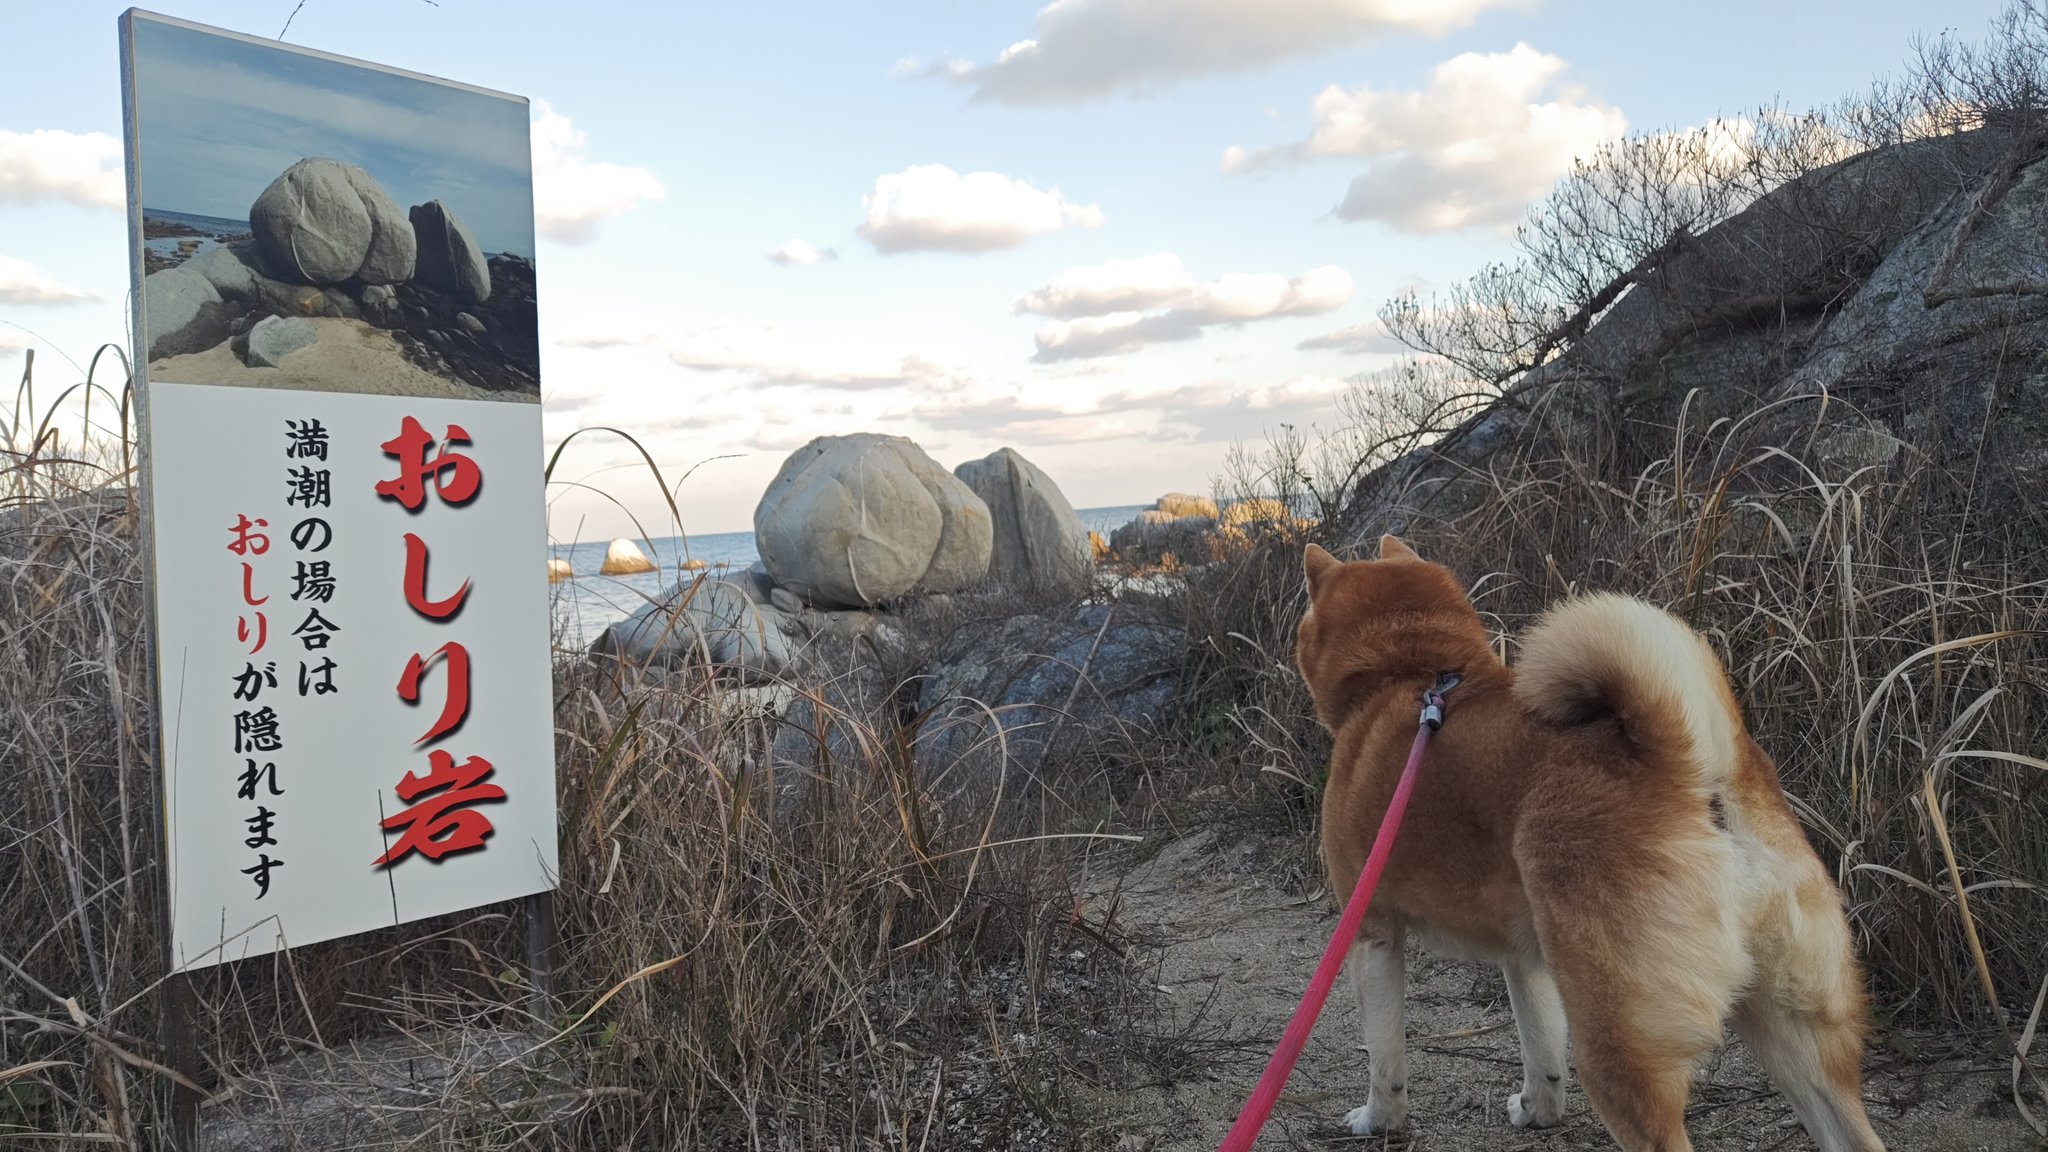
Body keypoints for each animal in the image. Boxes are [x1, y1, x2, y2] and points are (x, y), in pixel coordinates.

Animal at [1294, 536, 1884, 1152]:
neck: (1410, 675)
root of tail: (1692, 770)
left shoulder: (1373, 937)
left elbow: (1384, 1056)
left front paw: (1377, 1120)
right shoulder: (1521, 957)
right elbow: (1541, 1048)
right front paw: (1539, 1109)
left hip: (1620, 1048)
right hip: (1793, 1033)